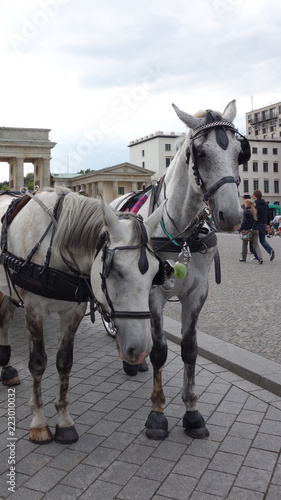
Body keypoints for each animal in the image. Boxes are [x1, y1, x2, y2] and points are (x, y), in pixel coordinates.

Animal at [0, 186, 163, 444]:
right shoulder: (33, 309)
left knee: (5, 319)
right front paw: (39, 422)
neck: (54, 245)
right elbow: (38, 363)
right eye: (115, 270)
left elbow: (64, 362)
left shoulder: (73, 311)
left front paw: (64, 421)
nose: (141, 349)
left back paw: (7, 369)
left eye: (157, 273)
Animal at [110, 99, 248, 440]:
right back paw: (130, 361)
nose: (232, 216)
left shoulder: (198, 293)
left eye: (240, 153)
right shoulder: (152, 293)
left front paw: (192, 413)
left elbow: (189, 349)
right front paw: (157, 413)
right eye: (200, 153)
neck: (182, 233)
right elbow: (160, 350)